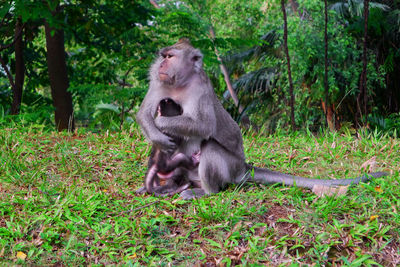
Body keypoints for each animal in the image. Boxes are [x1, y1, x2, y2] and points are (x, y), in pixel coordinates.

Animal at [136, 38, 386, 200]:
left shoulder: (201, 89)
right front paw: (156, 133)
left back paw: (205, 191)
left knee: (210, 147)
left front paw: (161, 125)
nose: (161, 64)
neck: (181, 82)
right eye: (163, 56)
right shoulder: (158, 82)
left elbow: (203, 126)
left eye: (170, 57)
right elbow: (143, 113)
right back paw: (167, 183)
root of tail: (243, 167)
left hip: (229, 167)